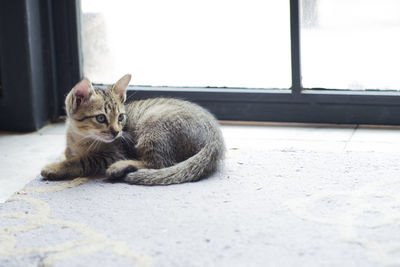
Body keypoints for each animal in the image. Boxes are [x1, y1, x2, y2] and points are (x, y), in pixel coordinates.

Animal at [40, 74, 225, 185]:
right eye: (101, 118)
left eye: (121, 117)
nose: (116, 132)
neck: (80, 139)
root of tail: (215, 137)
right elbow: (68, 154)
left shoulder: (115, 152)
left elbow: (82, 161)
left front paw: (55, 168)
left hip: (153, 126)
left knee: (160, 163)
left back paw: (120, 167)